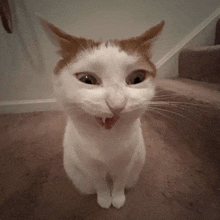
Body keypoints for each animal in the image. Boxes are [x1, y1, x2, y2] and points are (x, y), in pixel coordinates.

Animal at [39, 18, 164, 209]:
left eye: (137, 78)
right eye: (87, 79)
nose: (117, 103)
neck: (106, 142)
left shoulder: (126, 164)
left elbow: (119, 183)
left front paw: (118, 199)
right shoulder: (91, 167)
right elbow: (100, 184)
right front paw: (104, 199)